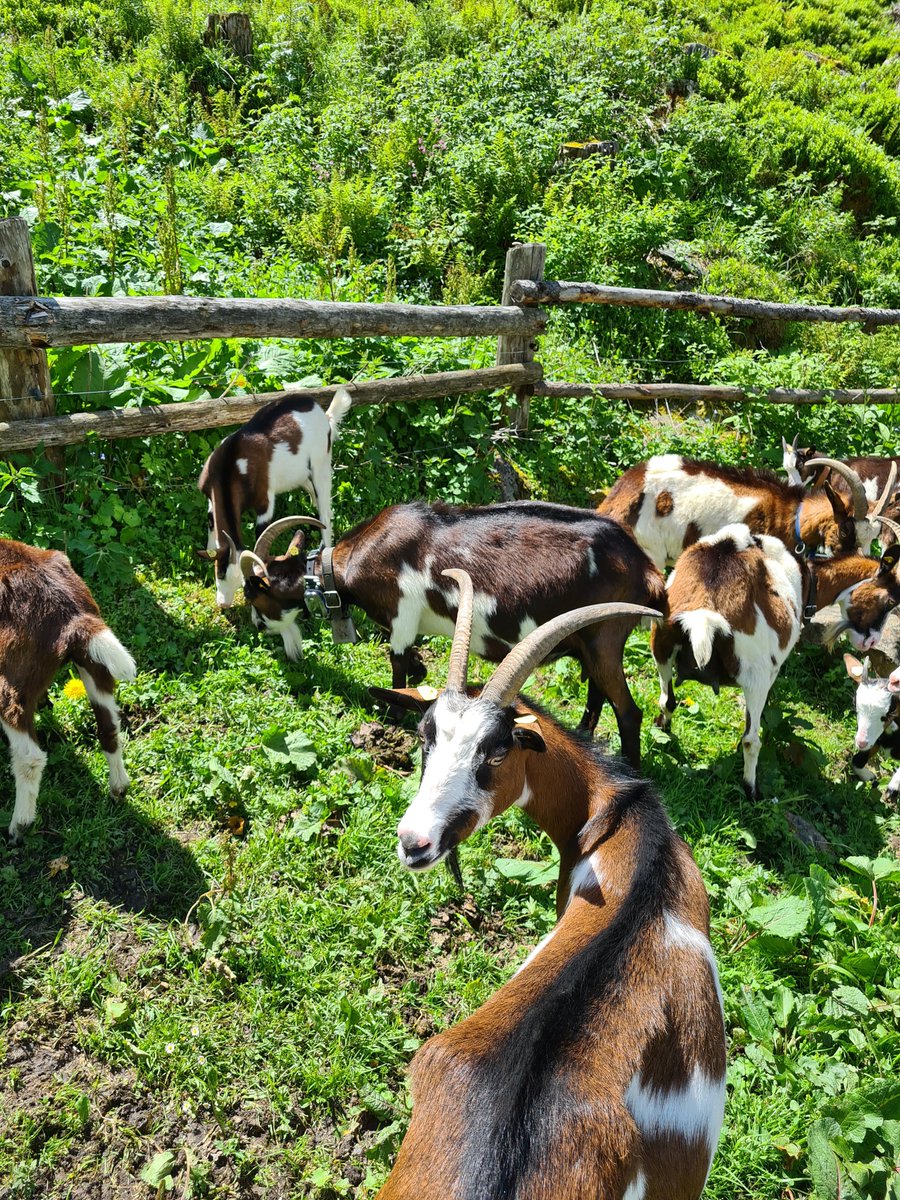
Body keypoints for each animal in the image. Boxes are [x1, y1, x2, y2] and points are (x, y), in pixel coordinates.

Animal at [0, 538, 136, 841]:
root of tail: (71, 615)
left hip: (9, 679)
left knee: (30, 756)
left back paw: (19, 827)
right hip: (92, 661)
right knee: (109, 725)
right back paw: (118, 788)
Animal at [197, 387, 352, 608]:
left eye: (241, 580)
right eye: (219, 573)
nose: (223, 604)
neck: (230, 469)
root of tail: (323, 413)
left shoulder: (264, 500)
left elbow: (261, 530)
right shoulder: (211, 495)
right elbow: (211, 522)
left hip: (321, 462)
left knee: (324, 512)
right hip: (300, 473)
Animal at [239, 501, 668, 767]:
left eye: (255, 594)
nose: (256, 627)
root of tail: (645, 568)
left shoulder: (401, 613)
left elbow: (396, 663)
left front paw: (392, 715)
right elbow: (413, 665)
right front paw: (416, 683)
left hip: (605, 637)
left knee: (628, 711)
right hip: (591, 641)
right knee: (597, 694)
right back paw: (584, 738)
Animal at [844, 654, 900, 798]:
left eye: (891, 711)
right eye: (854, 705)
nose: (861, 742)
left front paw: (892, 788)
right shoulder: (875, 741)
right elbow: (856, 760)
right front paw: (870, 778)